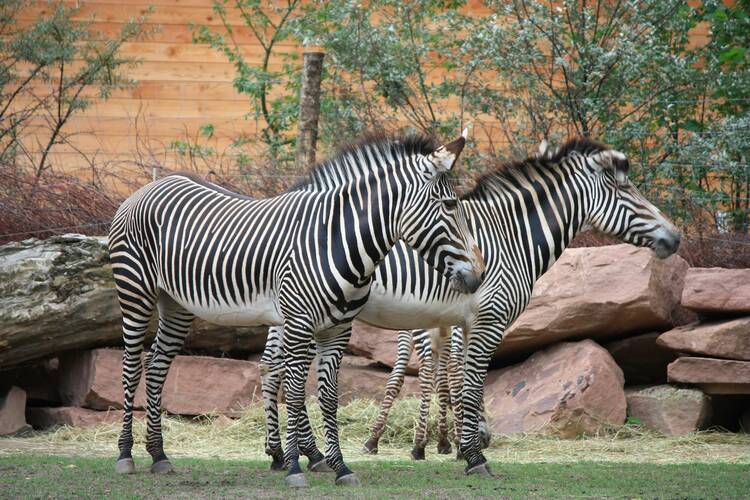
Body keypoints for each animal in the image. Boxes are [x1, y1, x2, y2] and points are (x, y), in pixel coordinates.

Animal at [110, 131, 488, 486]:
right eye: (450, 205)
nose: (476, 278)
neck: (335, 242)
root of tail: (151, 185)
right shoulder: (298, 323)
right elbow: (293, 392)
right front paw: (294, 466)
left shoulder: (337, 330)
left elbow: (328, 397)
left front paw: (340, 467)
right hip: (135, 291)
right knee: (131, 369)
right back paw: (126, 454)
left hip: (175, 304)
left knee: (157, 367)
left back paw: (158, 455)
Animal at [262, 138, 684, 476]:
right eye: (626, 190)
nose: (676, 237)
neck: (511, 237)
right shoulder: (490, 320)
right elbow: (473, 383)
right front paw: (474, 454)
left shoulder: (465, 321)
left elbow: (463, 381)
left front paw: (464, 445)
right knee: (283, 370)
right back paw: (303, 453)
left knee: (272, 368)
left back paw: (284, 453)